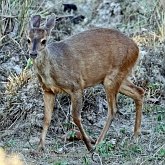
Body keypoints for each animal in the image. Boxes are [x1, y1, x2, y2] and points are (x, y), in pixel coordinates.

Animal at [27, 13, 144, 151]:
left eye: (43, 41)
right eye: (28, 39)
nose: (33, 53)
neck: (51, 69)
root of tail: (136, 49)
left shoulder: (76, 86)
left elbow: (76, 117)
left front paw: (88, 144)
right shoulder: (47, 90)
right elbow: (46, 118)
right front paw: (39, 148)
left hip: (113, 77)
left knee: (113, 109)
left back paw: (98, 143)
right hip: (115, 78)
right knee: (139, 91)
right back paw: (135, 137)